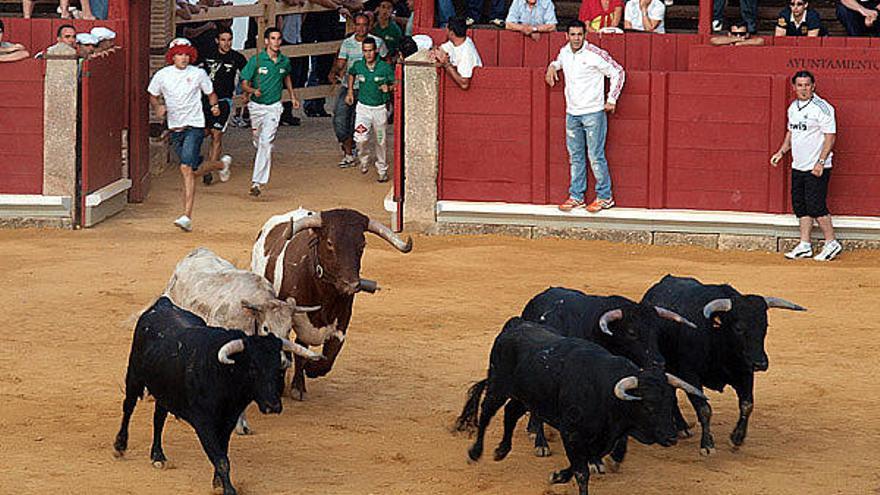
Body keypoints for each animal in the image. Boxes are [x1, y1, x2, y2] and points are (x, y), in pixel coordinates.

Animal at [248, 207, 412, 402]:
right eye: (329, 243)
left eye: (362, 245)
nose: (351, 285)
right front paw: (293, 385)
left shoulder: (341, 323)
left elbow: (328, 356)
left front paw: (311, 370)